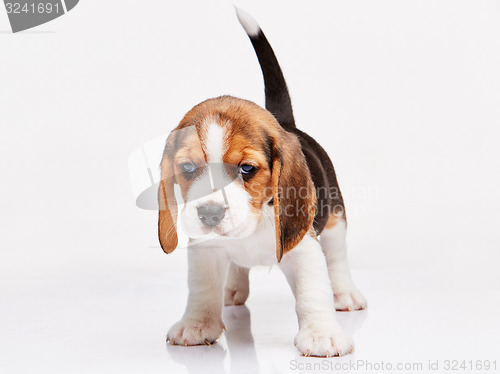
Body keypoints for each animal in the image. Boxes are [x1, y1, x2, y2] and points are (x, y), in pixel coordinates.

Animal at [161, 8, 368, 358]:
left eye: (246, 169)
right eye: (187, 167)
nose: (210, 214)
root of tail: (284, 122)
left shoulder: (305, 248)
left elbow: (313, 290)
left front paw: (321, 334)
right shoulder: (206, 250)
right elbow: (202, 288)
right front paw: (197, 325)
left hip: (336, 220)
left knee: (337, 257)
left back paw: (345, 294)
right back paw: (232, 289)